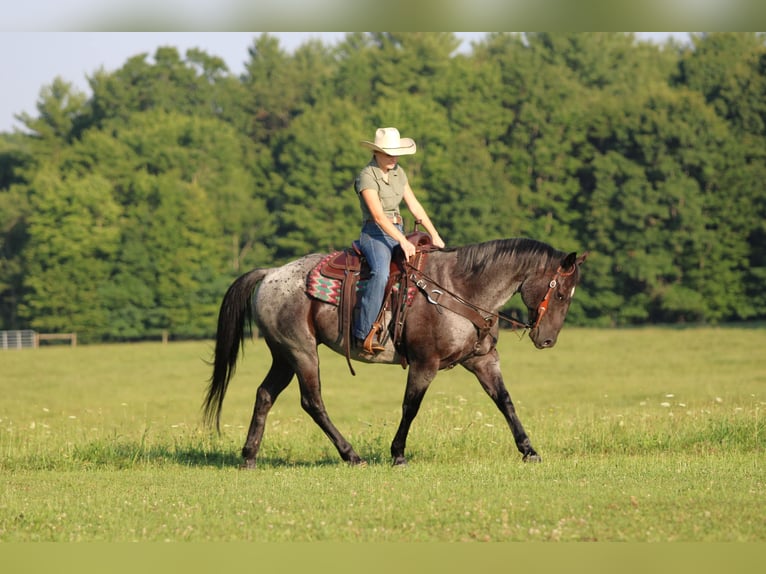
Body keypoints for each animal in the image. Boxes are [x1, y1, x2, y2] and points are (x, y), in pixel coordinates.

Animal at [203, 237, 587, 468]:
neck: (460, 289)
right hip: (302, 352)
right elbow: (410, 407)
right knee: (312, 402)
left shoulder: (482, 360)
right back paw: (352, 455)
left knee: (264, 395)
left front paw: (529, 450)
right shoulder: (424, 363)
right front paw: (398, 453)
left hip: (283, 355)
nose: (547, 340)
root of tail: (271, 274)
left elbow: (505, 402)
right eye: (561, 293)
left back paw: (249, 457)